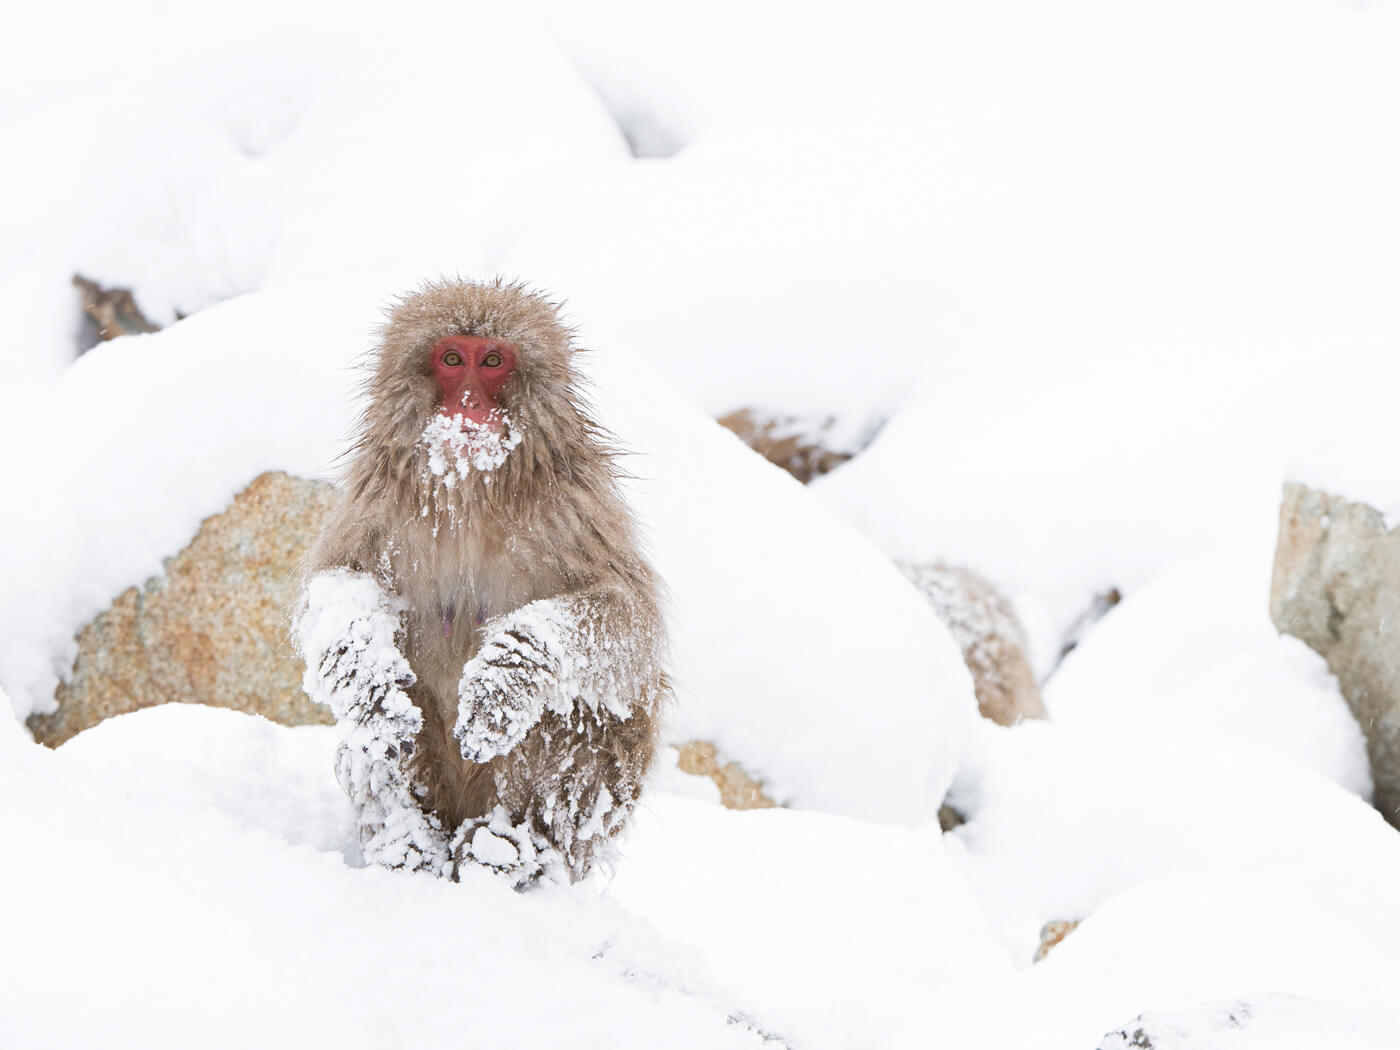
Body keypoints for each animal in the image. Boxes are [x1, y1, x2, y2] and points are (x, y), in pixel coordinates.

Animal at [293, 278, 669, 886]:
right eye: (453, 360)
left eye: (492, 362)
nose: (468, 403)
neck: (471, 491)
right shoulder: (376, 503)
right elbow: (335, 590)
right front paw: (371, 682)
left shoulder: (578, 507)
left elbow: (629, 623)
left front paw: (507, 676)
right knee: (384, 739)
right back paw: (409, 843)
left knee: (584, 709)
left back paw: (506, 848)